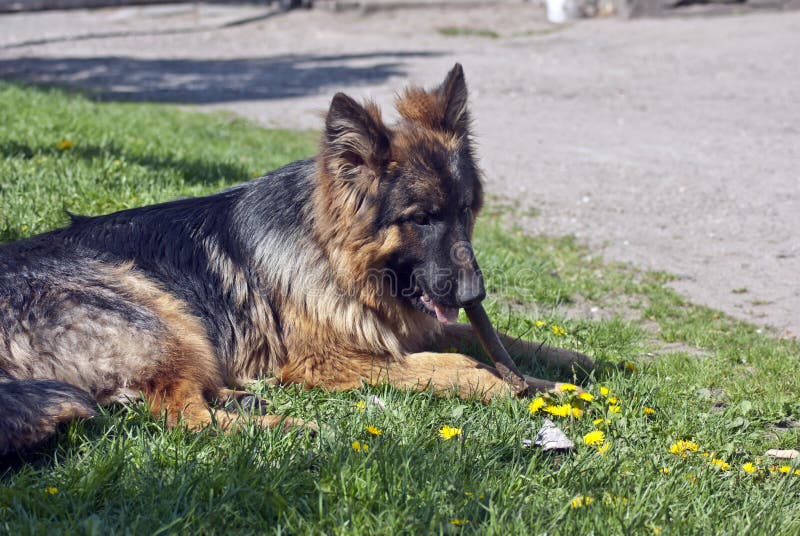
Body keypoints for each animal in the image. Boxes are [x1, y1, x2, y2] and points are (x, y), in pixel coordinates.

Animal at [0, 65, 588, 454]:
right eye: (420, 218)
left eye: (465, 210)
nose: (473, 294)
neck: (334, 258)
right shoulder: (333, 361)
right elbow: (462, 363)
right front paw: (510, 387)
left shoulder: (415, 327)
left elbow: (499, 342)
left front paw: (566, 372)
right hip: (164, 313)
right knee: (182, 417)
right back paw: (289, 428)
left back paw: (247, 398)